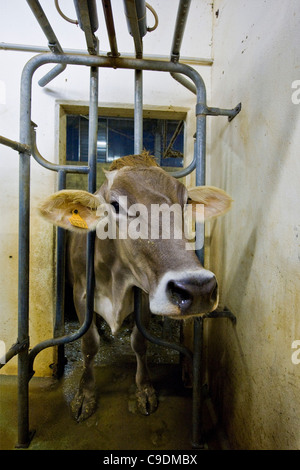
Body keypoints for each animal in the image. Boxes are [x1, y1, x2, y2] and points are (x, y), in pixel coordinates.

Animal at [39, 151, 232, 422]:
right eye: (115, 205)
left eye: (186, 202)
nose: (198, 289)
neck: (115, 281)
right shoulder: (80, 294)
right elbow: (89, 344)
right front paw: (85, 394)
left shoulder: (143, 297)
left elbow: (140, 342)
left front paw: (144, 390)